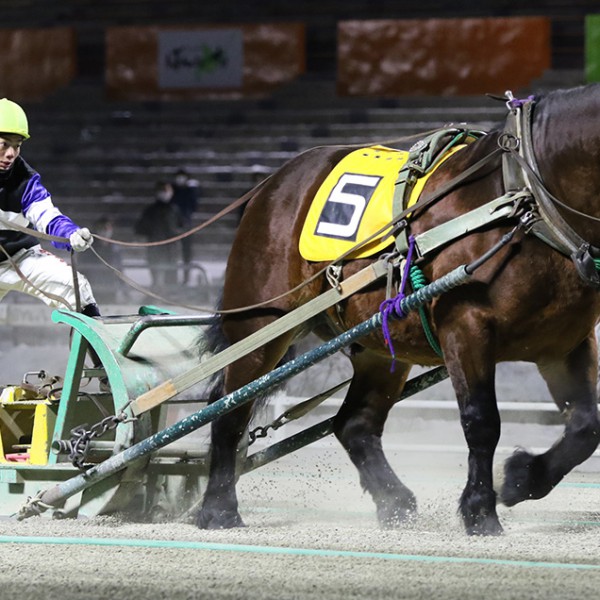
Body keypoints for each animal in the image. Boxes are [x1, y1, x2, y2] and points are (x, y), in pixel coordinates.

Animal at [197, 83, 600, 536]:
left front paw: (519, 478)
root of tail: (271, 184)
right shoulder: (466, 327)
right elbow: (481, 421)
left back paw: (395, 501)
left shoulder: (565, 342)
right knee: (228, 412)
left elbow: (585, 427)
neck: (526, 202)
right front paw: (480, 509)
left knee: (354, 423)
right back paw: (218, 509)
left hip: (379, 344)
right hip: (259, 328)